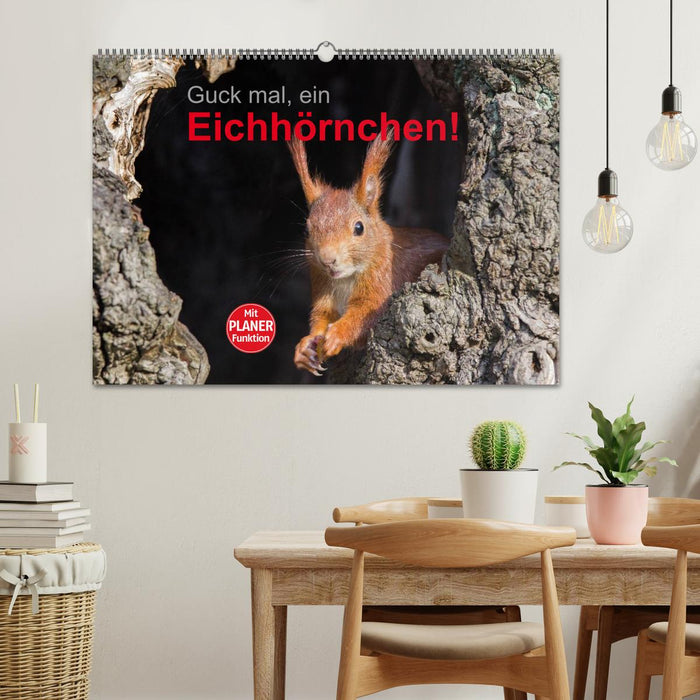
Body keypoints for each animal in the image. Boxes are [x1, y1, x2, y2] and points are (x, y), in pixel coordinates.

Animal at [289, 132, 449, 376]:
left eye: (359, 228)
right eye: (307, 230)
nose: (327, 260)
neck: (345, 279)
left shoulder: (383, 283)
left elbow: (366, 315)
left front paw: (337, 335)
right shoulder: (322, 287)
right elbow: (320, 316)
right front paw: (305, 348)